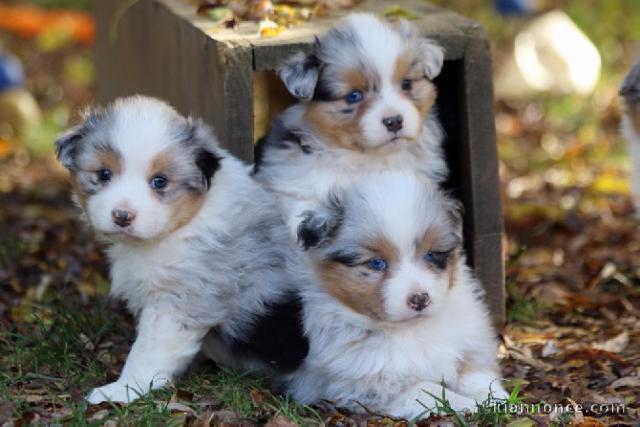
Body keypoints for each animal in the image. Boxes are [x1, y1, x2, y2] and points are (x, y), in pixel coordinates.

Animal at [53, 97, 308, 404]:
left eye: (160, 181)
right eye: (104, 174)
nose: (122, 216)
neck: (184, 224)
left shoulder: (180, 298)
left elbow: (147, 351)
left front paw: (121, 389)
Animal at [282, 174, 508, 422]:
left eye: (432, 254)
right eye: (376, 263)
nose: (420, 299)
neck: (410, 330)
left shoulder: (468, 341)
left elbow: (474, 373)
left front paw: (495, 398)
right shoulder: (366, 385)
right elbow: (426, 391)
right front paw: (469, 405)